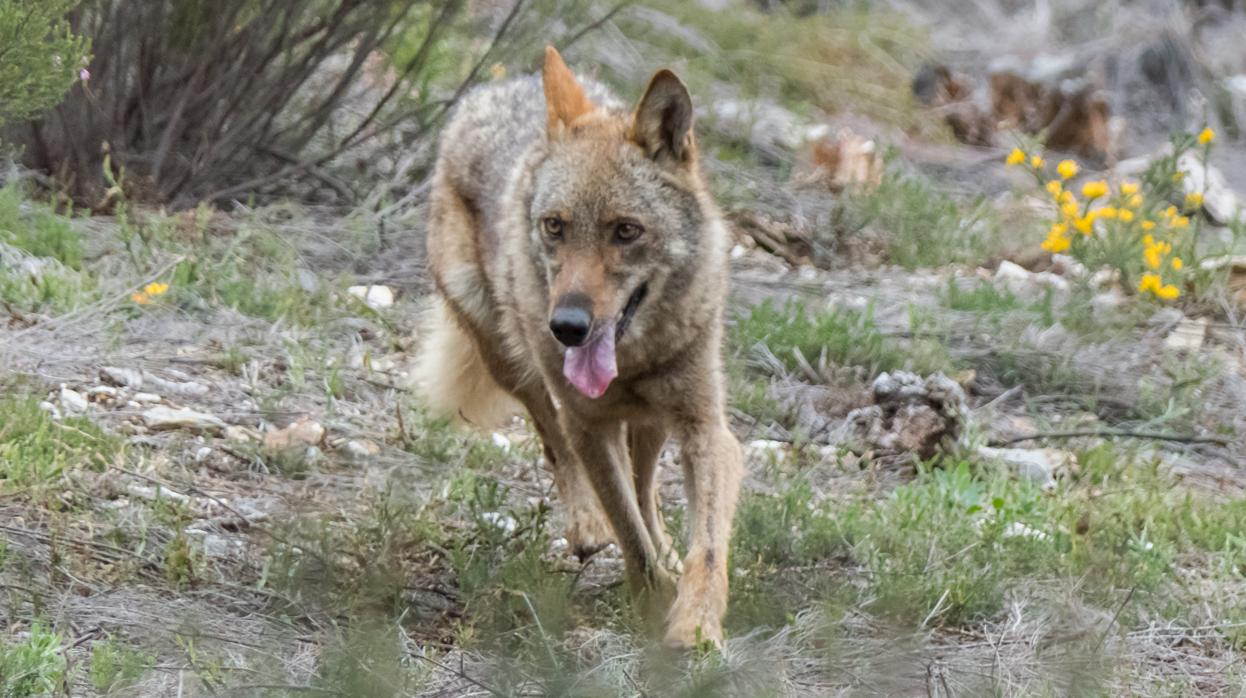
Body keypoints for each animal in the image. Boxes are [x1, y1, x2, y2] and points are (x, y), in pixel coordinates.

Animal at [418, 46, 737, 648]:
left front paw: (694, 627)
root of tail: (498, 89)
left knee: (645, 487)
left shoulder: (706, 428)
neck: (633, 361)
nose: (566, 325)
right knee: (556, 444)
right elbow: (628, 535)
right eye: (555, 226)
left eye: (626, 230)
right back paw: (588, 527)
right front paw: (651, 602)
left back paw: (664, 547)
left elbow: (704, 547)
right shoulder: (586, 422)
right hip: (512, 362)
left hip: (653, 423)